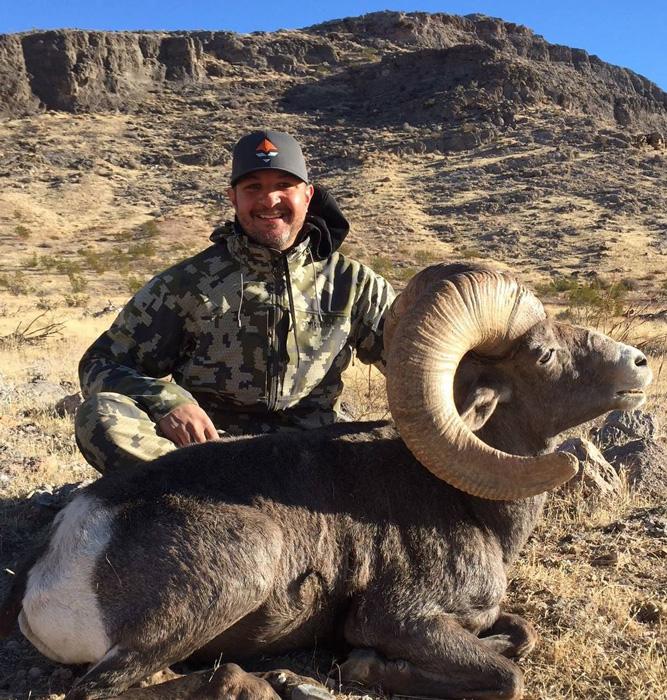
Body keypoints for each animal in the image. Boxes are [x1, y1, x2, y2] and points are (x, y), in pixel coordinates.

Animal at [0, 263, 652, 700]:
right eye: (542, 355)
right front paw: (363, 668)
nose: (640, 365)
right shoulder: (400, 619)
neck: (471, 506)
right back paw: (266, 681)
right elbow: (508, 674)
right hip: (238, 572)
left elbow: (520, 635)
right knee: (102, 690)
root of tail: (63, 549)